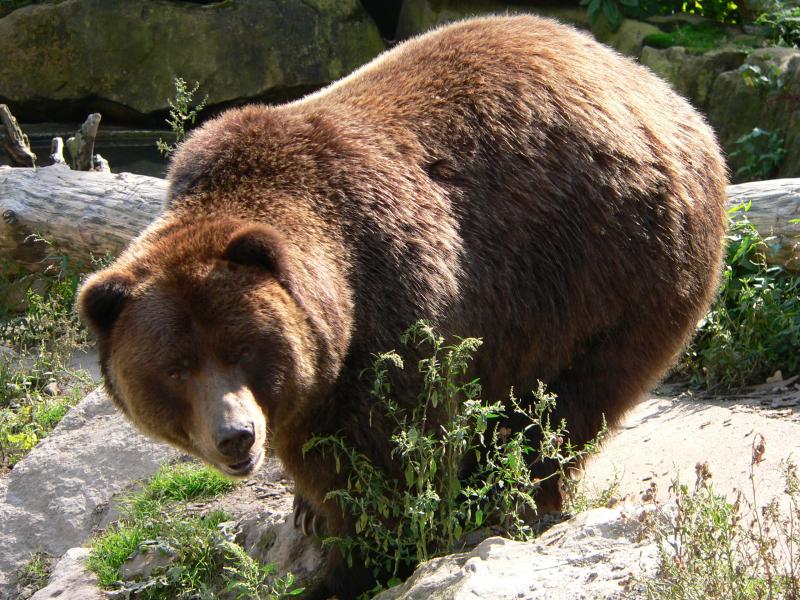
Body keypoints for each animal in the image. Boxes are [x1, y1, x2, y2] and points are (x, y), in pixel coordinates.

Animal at [78, 14, 728, 599]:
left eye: (243, 349)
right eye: (176, 367)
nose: (235, 437)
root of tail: (661, 93)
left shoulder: (393, 303)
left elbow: (392, 462)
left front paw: (351, 566)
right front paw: (307, 508)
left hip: (615, 263)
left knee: (568, 404)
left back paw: (511, 496)